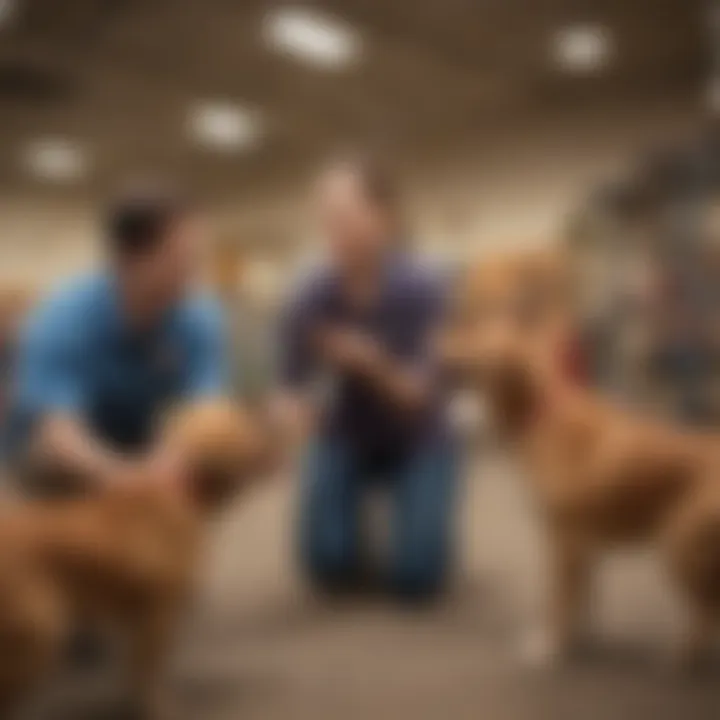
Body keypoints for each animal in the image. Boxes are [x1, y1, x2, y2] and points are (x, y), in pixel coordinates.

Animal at [0, 400, 272, 716]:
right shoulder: (158, 616)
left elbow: (135, 672)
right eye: (241, 423)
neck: (182, 490)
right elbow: (147, 675)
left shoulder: (141, 622)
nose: (266, 429)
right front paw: (157, 708)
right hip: (38, 635)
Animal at [442, 253, 720, 668]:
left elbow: (560, 600)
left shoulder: (564, 539)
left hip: (679, 546)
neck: (540, 413)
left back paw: (681, 658)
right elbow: (582, 600)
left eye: (473, 331)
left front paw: (549, 647)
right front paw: (580, 637)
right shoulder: (584, 545)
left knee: (706, 612)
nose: (437, 345)